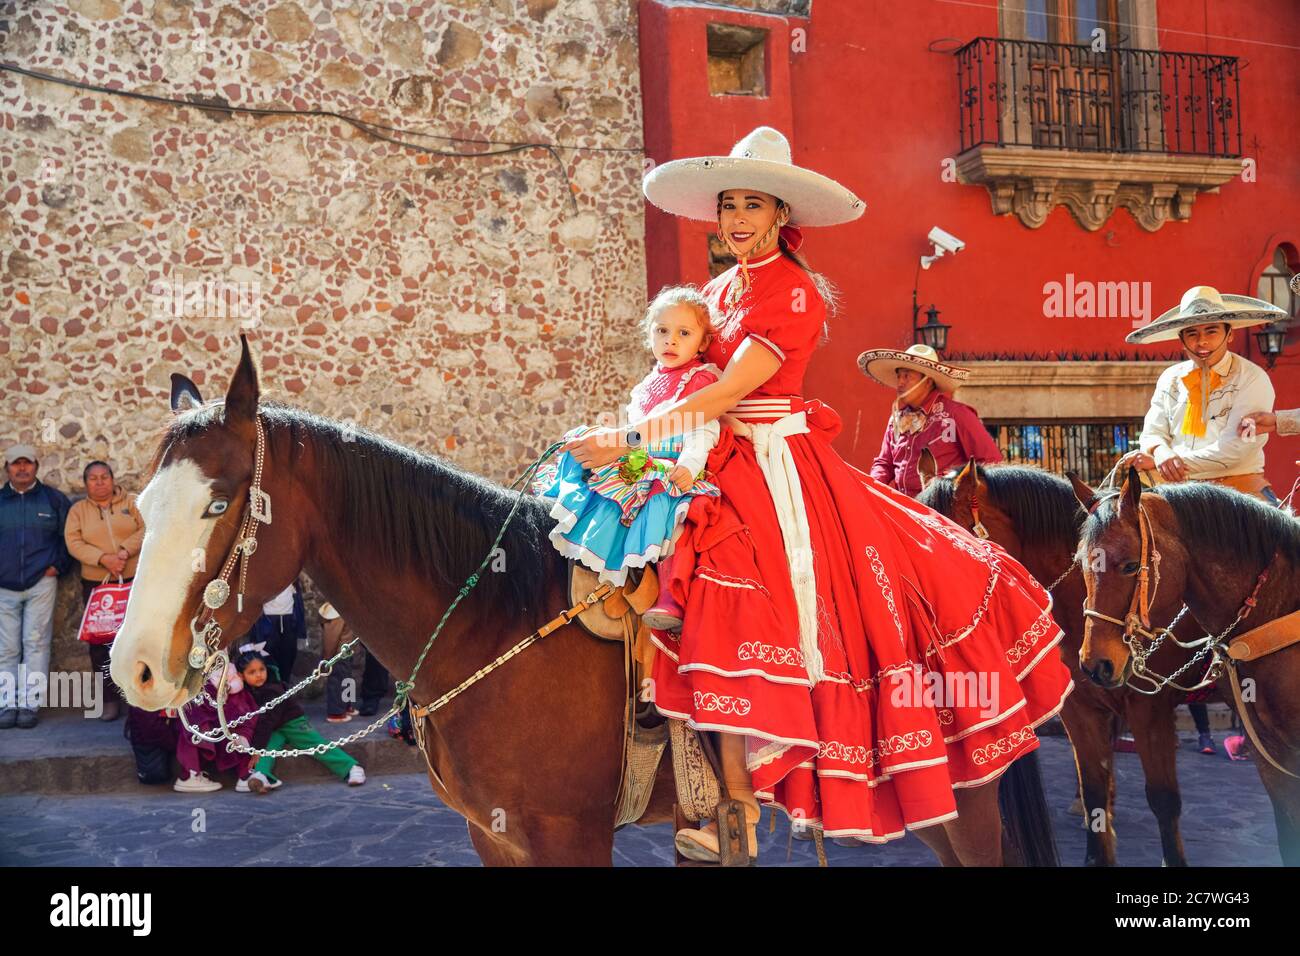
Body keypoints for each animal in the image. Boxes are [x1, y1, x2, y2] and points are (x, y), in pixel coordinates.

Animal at [114, 338, 1055, 868]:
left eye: (217, 503)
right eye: (141, 505)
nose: (136, 668)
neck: (490, 621)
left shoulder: (565, 835)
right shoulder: (494, 836)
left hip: (961, 797)